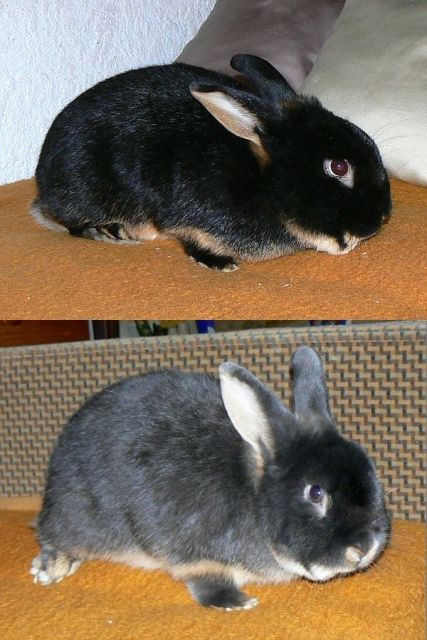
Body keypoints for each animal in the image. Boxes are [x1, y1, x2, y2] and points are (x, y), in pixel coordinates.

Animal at [31, 55, 392, 272]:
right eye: (339, 167)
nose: (383, 217)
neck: (263, 183)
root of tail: (42, 185)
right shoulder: (187, 218)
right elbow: (191, 240)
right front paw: (221, 264)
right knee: (70, 224)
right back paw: (110, 231)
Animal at [31, 346, 390, 610]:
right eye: (316, 493)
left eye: (372, 470)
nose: (364, 549)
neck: (255, 498)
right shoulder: (198, 556)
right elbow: (208, 583)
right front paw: (237, 603)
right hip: (78, 516)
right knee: (53, 536)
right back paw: (50, 569)